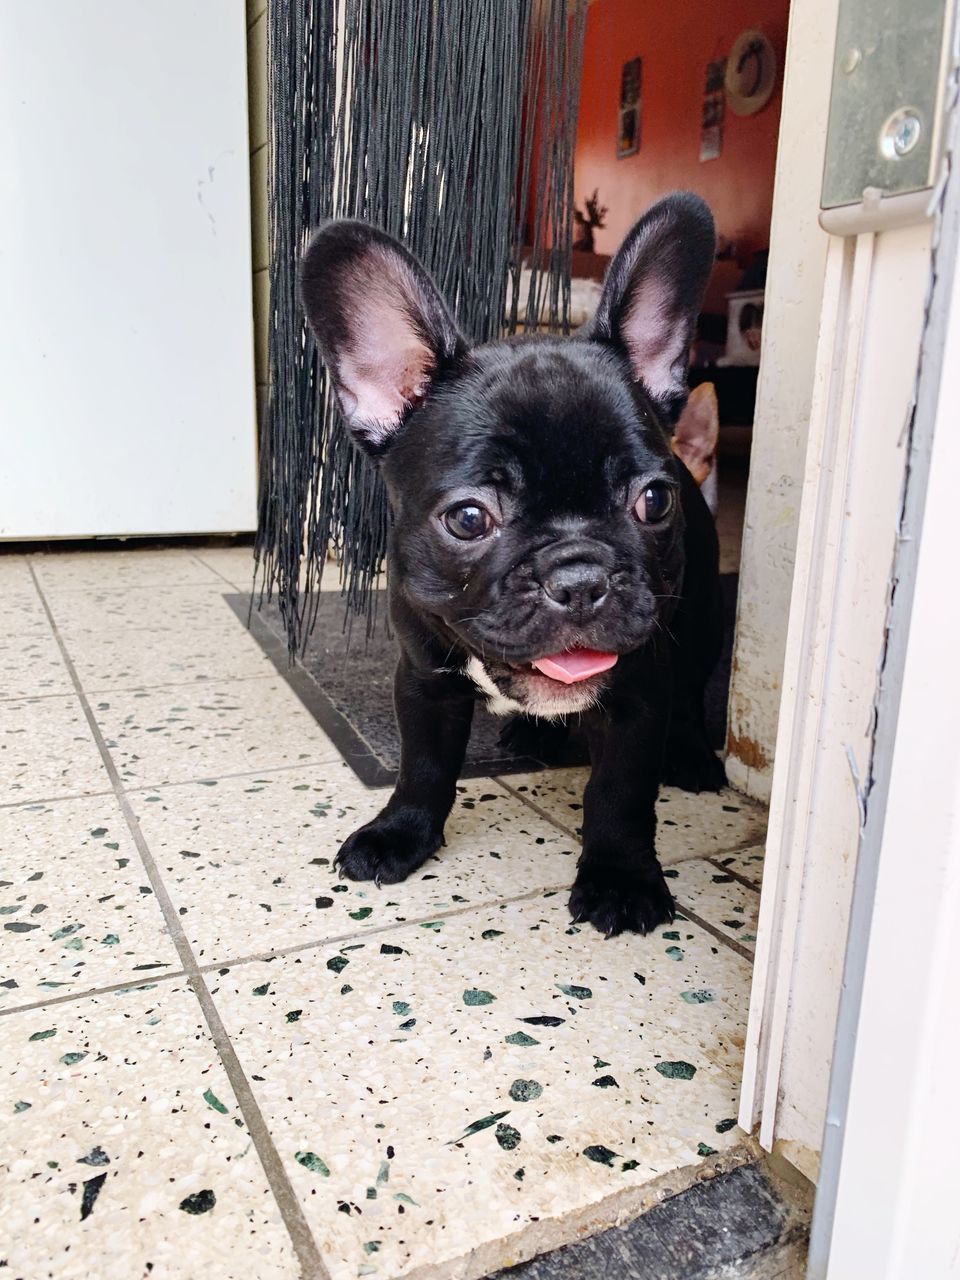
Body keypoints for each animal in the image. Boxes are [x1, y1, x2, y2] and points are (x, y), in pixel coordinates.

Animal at [304, 189, 727, 936]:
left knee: (692, 697)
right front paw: (401, 834)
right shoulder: (424, 679)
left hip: (700, 623)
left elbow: (619, 793)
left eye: (655, 500)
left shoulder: (639, 691)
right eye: (469, 518)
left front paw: (620, 877)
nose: (580, 578)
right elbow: (423, 766)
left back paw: (694, 757)